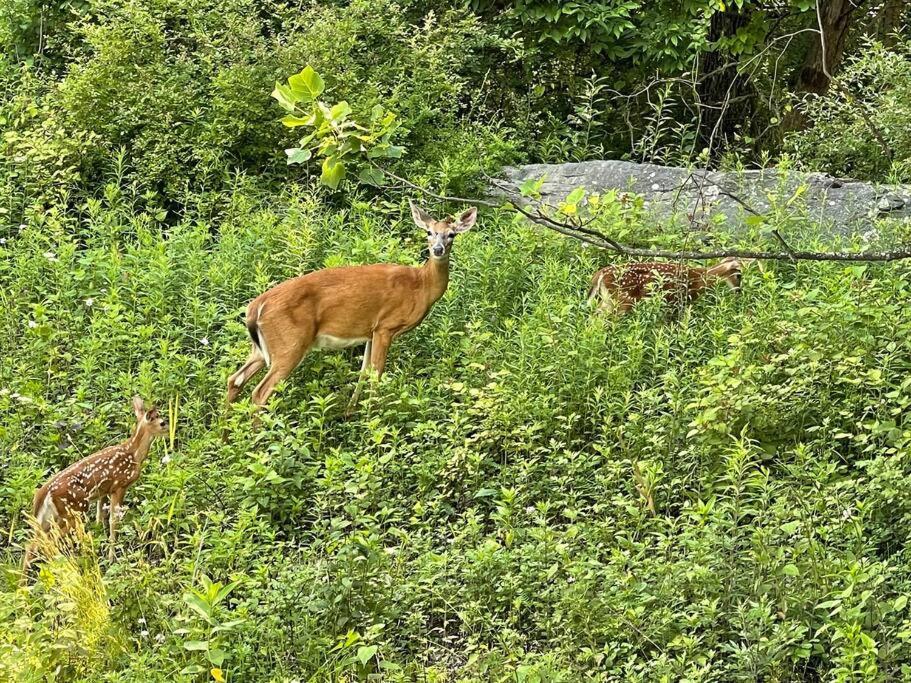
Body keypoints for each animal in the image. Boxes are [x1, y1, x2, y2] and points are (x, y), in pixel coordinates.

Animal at [21, 396, 167, 576]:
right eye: (162, 422)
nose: (170, 429)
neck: (134, 454)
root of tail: (43, 493)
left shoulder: (103, 491)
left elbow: (99, 517)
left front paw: (101, 545)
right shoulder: (119, 486)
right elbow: (113, 521)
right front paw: (112, 557)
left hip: (51, 517)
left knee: (32, 545)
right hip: (74, 510)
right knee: (46, 541)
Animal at [226, 198, 478, 412]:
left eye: (451, 234)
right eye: (429, 232)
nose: (438, 249)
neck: (420, 286)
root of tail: (255, 306)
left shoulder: (370, 331)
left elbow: (363, 372)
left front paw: (352, 412)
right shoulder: (386, 326)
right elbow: (376, 375)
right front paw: (373, 415)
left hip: (261, 348)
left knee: (234, 379)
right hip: (290, 343)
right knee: (260, 393)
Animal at [588, 260, 744, 316]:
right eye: (739, 276)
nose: (739, 291)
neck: (699, 279)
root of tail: (599, 275)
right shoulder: (677, 301)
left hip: (608, 298)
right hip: (623, 298)